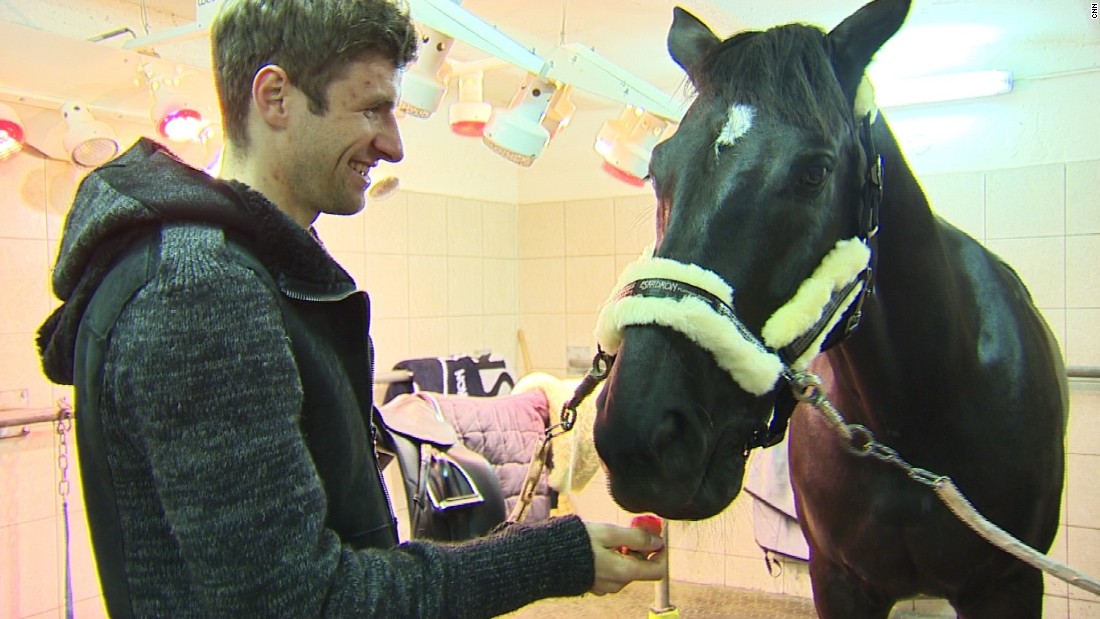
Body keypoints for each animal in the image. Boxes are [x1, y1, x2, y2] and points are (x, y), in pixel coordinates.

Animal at [594, 2, 1064, 615]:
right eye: (655, 167)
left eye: (814, 171)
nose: (639, 435)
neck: (913, 421)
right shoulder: (840, 580)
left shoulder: (1009, 583)